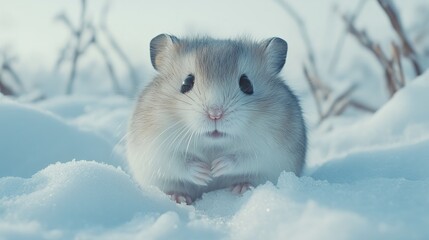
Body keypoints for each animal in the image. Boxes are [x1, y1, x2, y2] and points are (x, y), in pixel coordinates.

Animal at [125, 34, 306, 204]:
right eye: (186, 83)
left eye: (247, 84)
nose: (215, 114)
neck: (213, 145)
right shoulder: (156, 148)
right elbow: (178, 161)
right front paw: (205, 173)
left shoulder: (271, 150)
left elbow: (245, 157)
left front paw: (217, 168)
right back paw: (179, 197)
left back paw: (241, 187)